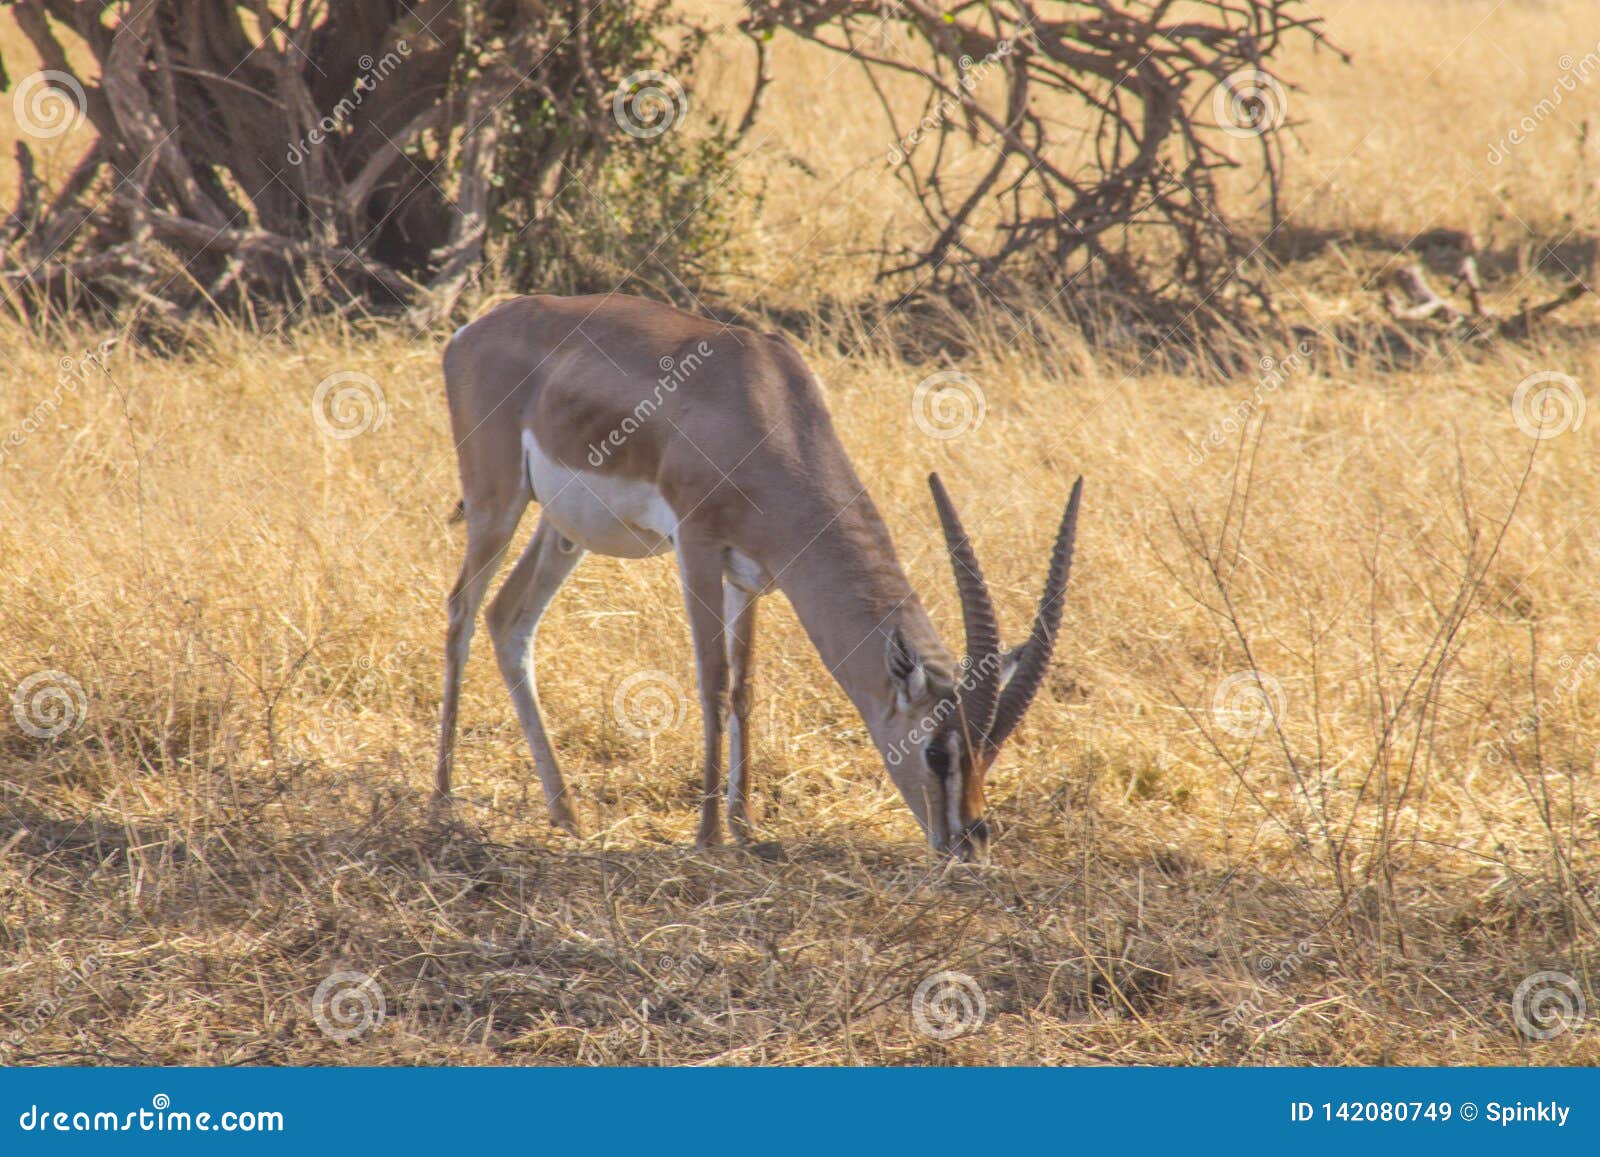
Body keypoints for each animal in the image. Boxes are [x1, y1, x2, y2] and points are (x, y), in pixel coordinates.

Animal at [435, 293, 1082, 861]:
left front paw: (745, 825)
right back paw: (442, 802)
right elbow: (713, 683)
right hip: (497, 502)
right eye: (938, 754)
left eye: (987, 753)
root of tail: (472, 330)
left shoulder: (749, 578)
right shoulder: (697, 547)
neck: (770, 410)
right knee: (461, 611)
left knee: (507, 618)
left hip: (561, 530)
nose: (970, 842)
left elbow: (746, 688)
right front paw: (708, 835)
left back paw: (566, 814)